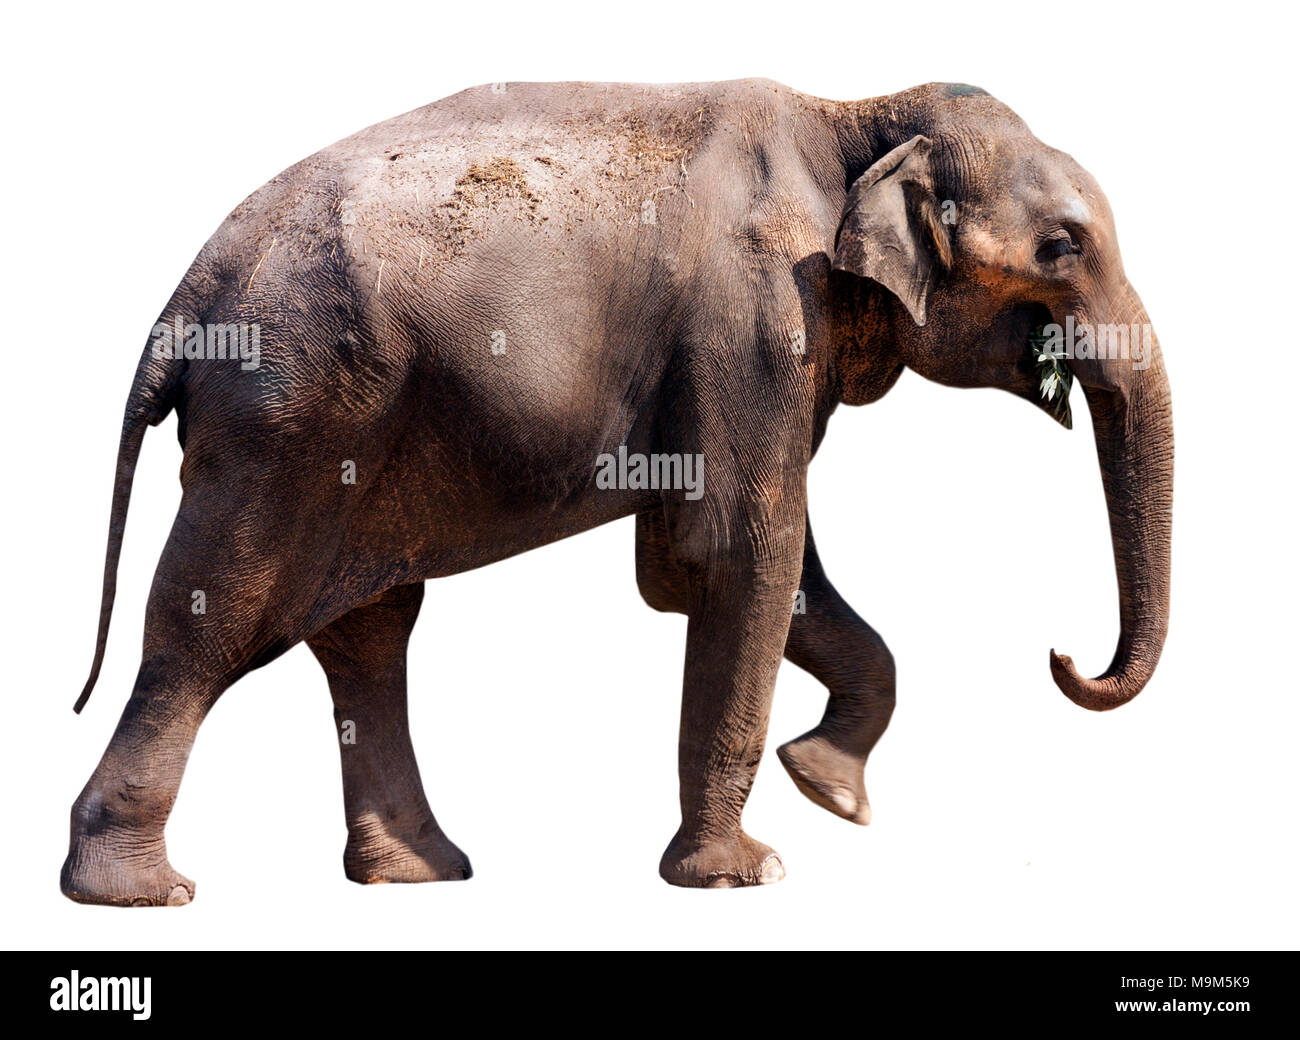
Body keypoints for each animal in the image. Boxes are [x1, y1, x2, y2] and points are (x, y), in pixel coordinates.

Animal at [63, 79, 1172, 904]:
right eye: (1063, 245)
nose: (1060, 653)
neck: (854, 114)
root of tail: (187, 294)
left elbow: (721, 565)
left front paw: (830, 791)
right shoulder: (754, 320)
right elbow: (737, 555)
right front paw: (746, 873)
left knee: (368, 631)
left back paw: (420, 874)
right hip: (285, 419)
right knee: (211, 622)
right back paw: (140, 892)